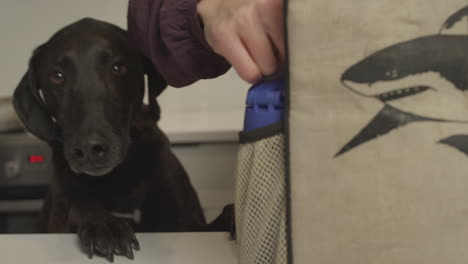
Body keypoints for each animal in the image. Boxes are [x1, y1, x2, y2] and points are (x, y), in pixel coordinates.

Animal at [12, 18, 229, 262]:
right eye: (57, 76)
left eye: (118, 68)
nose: (89, 149)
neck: (117, 178)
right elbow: (79, 203)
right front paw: (103, 225)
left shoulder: (187, 223)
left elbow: (223, 215)